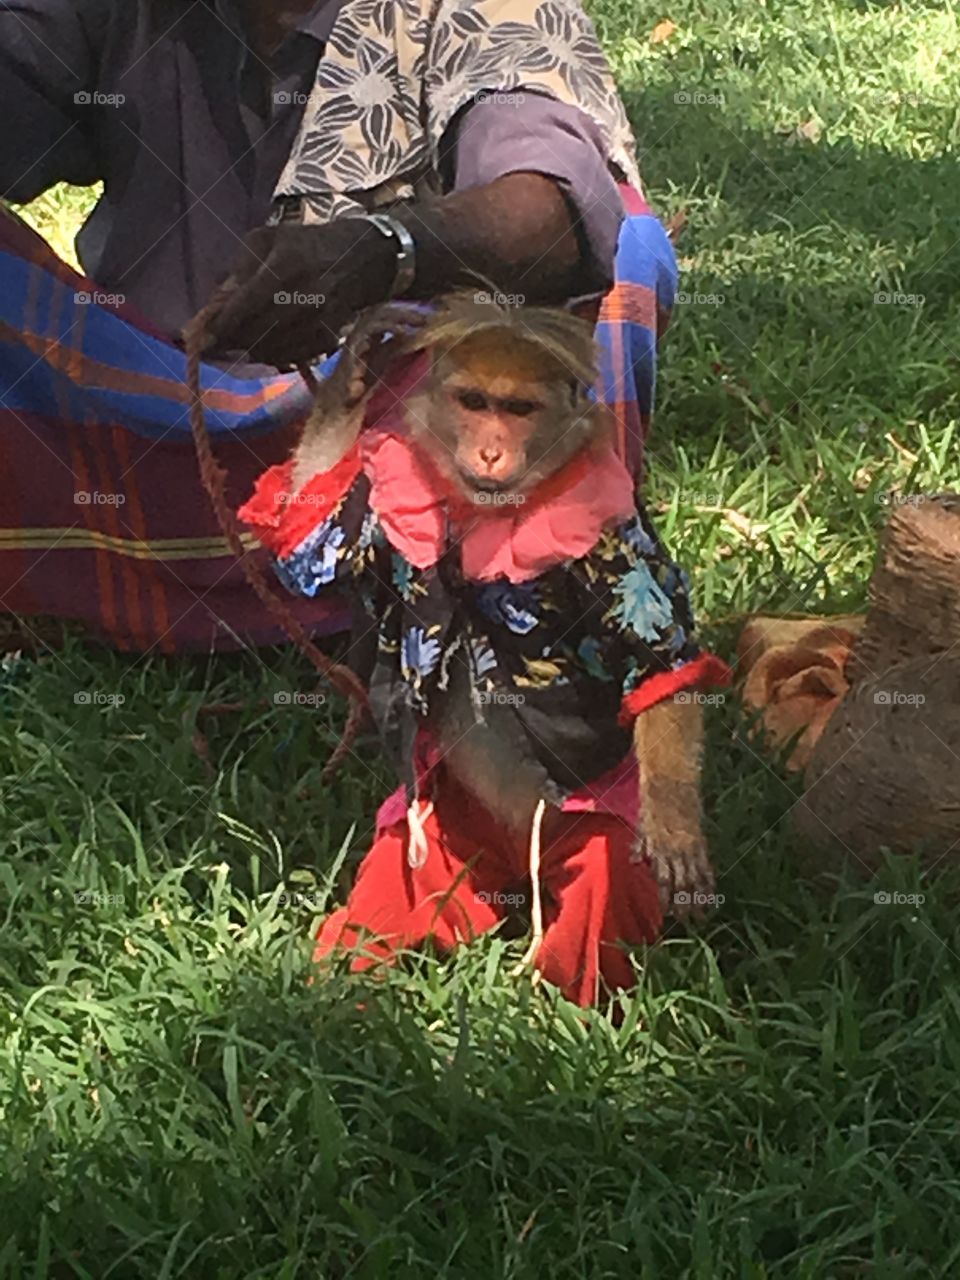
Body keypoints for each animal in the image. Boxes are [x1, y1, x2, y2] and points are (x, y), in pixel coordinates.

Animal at [283, 293, 720, 916]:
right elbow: (313, 545)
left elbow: (661, 666)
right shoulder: (383, 530)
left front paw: (674, 824)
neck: (489, 516)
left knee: (603, 880)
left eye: (518, 409)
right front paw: (356, 372)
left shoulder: (612, 544)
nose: (490, 451)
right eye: (474, 402)